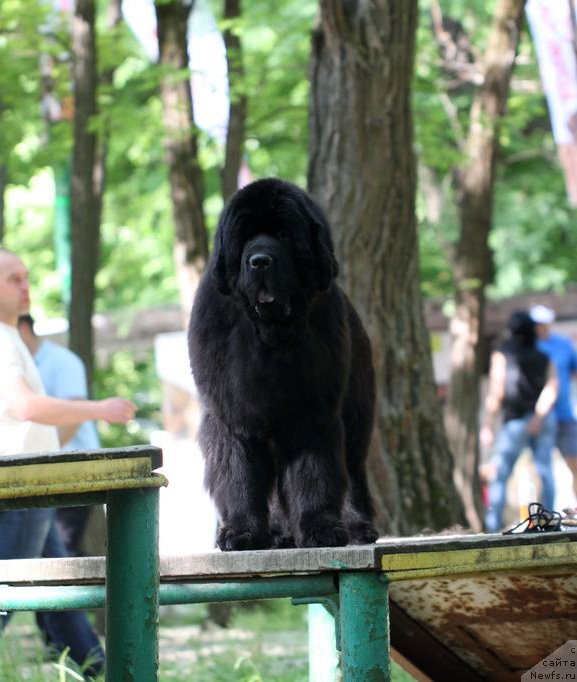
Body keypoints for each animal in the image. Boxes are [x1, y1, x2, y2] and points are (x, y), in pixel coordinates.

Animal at [189, 178, 378, 548]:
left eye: (284, 235)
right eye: (246, 237)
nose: (260, 261)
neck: (271, 338)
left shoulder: (313, 413)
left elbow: (315, 472)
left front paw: (321, 528)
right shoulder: (233, 416)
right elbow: (239, 474)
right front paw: (243, 532)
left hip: (356, 412)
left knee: (351, 468)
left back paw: (357, 526)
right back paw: (277, 533)